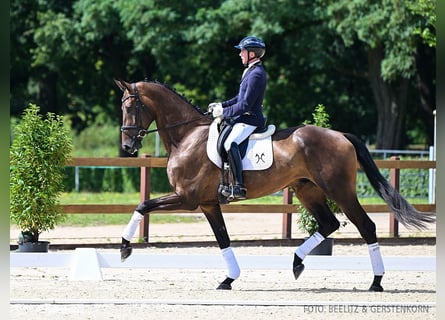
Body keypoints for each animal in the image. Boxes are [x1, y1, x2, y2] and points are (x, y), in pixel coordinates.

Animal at [113, 79, 434, 292]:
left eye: (131, 106)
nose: (128, 147)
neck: (187, 136)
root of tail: (340, 135)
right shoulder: (207, 203)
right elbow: (223, 239)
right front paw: (228, 279)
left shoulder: (186, 198)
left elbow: (142, 205)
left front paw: (125, 247)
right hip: (307, 190)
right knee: (329, 224)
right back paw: (297, 262)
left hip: (339, 191)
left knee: (365, 226)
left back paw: (376, 282)